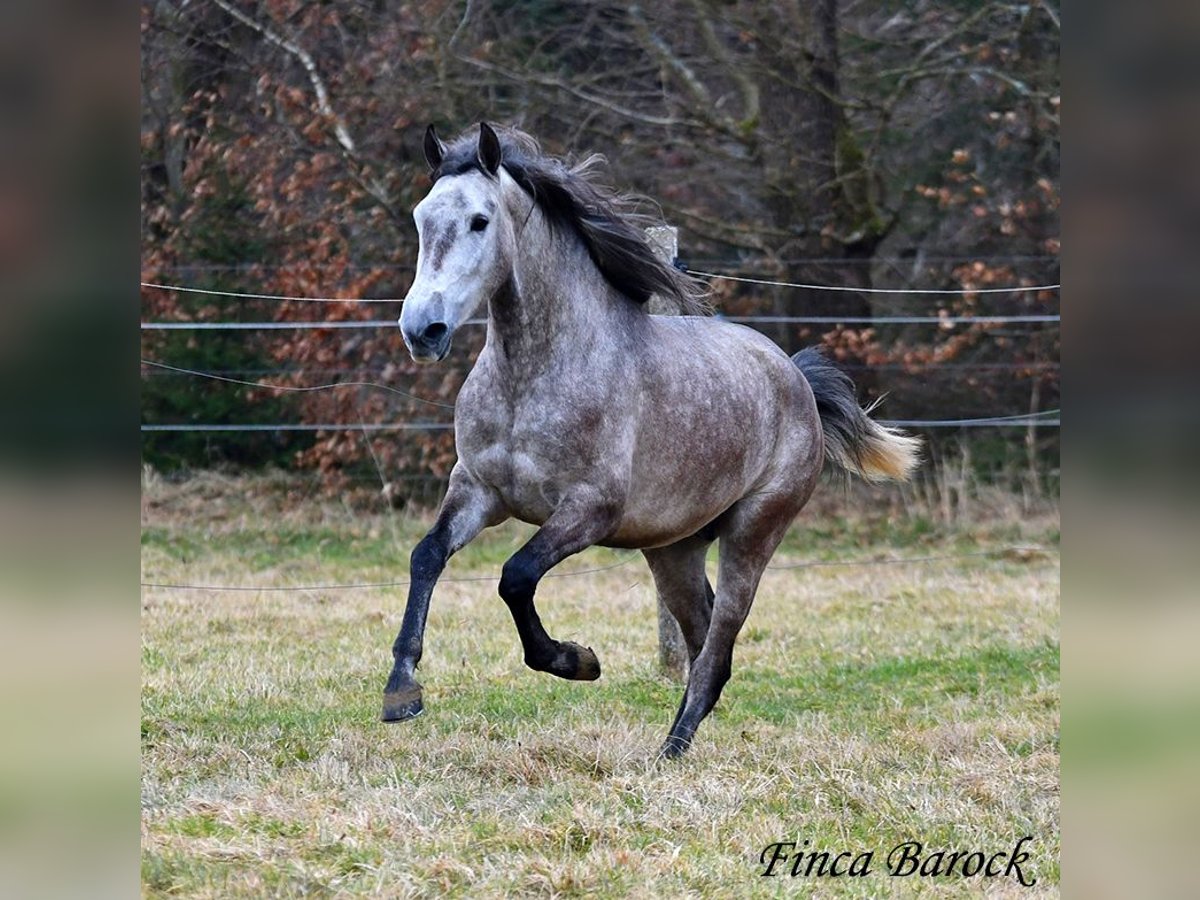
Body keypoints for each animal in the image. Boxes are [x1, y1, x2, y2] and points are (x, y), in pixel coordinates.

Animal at [386, 125, 916, 763]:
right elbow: (427, 556)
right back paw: (676, 743)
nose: (423, 330)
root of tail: (793, 376)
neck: (534, 375)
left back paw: (669, 752)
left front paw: (577, 661)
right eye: (420, 218)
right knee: (704, 636)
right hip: (673, 550)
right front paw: (401, 692)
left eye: (480, 221)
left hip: (753, 534)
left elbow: (516, 576)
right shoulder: (478, 491)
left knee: (717, 645)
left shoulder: (590, 509)